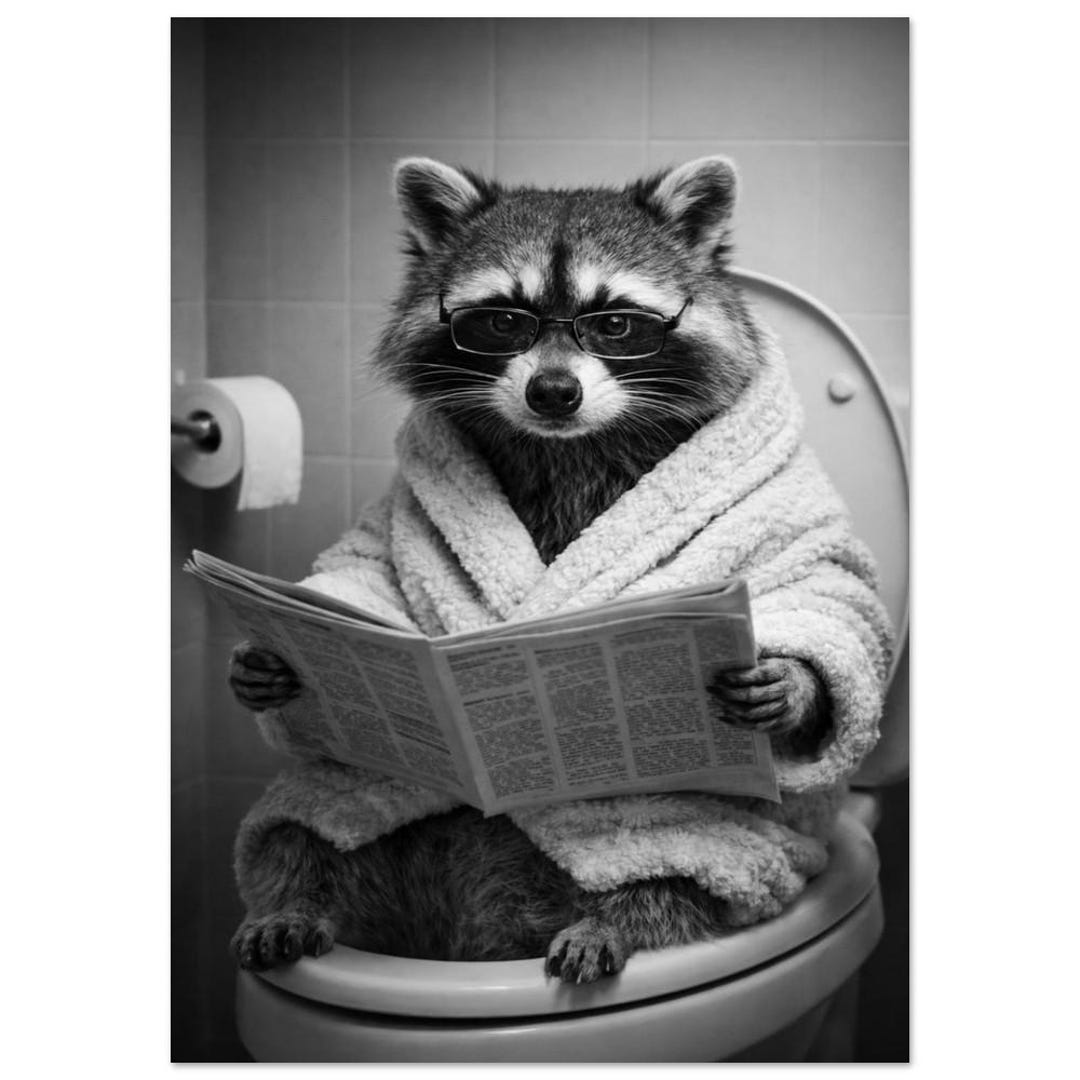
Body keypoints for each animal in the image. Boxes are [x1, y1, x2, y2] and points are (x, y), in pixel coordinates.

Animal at [228, 156, 827, 983]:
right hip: (348, 809)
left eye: (615, 323)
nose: (553, 391)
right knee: (300, 830)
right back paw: (295, 900)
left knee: (674, 877)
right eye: (502, 321)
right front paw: (269, 660)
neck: (567, 442)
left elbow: (821, 585)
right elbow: (370, 566)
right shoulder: (400, 507)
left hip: (705, 845)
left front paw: (790, 683)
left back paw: (617, 919)